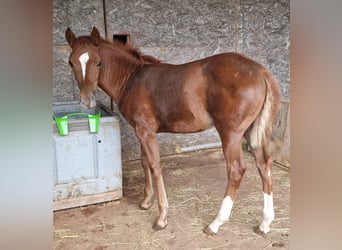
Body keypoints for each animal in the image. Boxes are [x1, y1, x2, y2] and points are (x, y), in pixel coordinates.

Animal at [65, 27, 280, 236]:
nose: (87, 100)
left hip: (231, 133)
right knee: (264, 164)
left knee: (236, 170)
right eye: (71, 63)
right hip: (252, 131)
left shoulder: (145, 131)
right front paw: (146, 201)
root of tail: (259, 70)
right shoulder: (141, 131)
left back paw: (216, 223)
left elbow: (155, 166)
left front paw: (162, 217)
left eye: (98, 63)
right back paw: (265, 223)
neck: (131, 79)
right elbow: (144, 162)